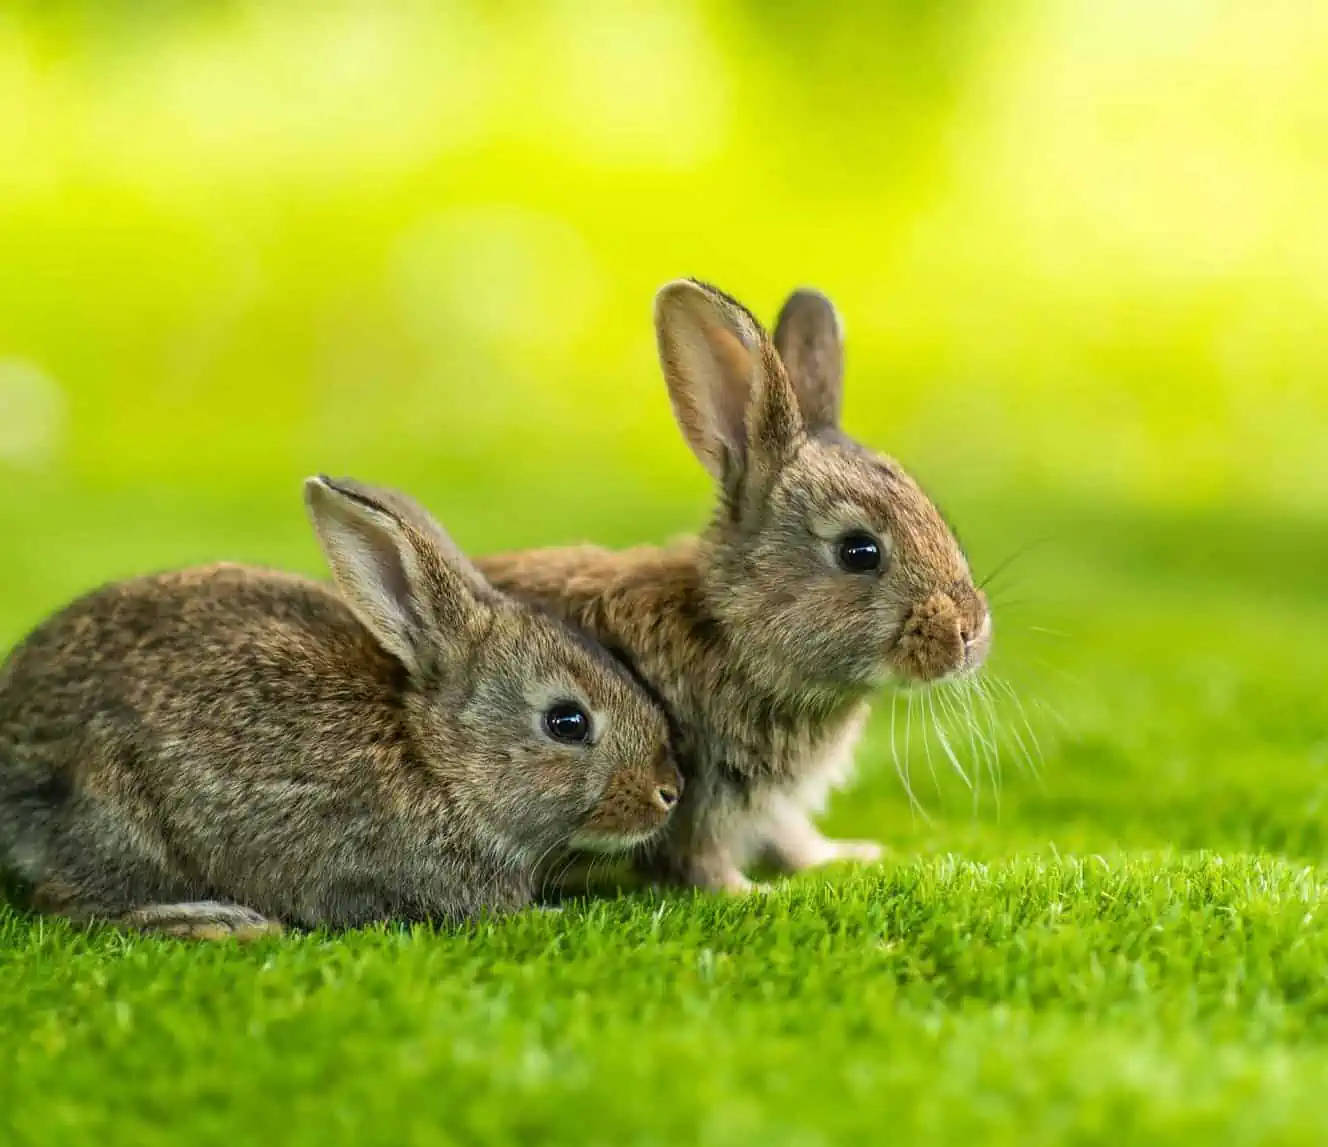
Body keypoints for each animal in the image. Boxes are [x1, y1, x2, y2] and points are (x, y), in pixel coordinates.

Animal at [478, 282, 988, 892]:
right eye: (859, 551)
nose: (970, 634)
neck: (730, 632)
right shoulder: (696, 792)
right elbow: (699, 858)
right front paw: (747, 894)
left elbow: (788, 836)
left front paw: (844, 856)